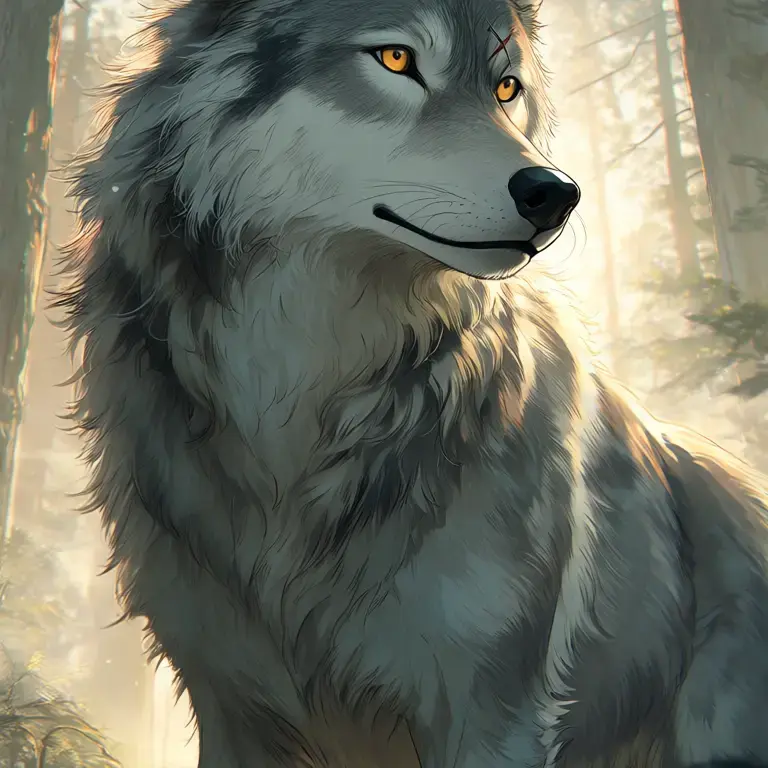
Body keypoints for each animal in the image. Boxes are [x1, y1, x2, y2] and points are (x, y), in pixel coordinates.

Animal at [56, 0, 768, 765]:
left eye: (506, 87)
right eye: (396, 59)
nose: (556, 193)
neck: (297, 399)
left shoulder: (496, 713)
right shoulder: (231, 704)